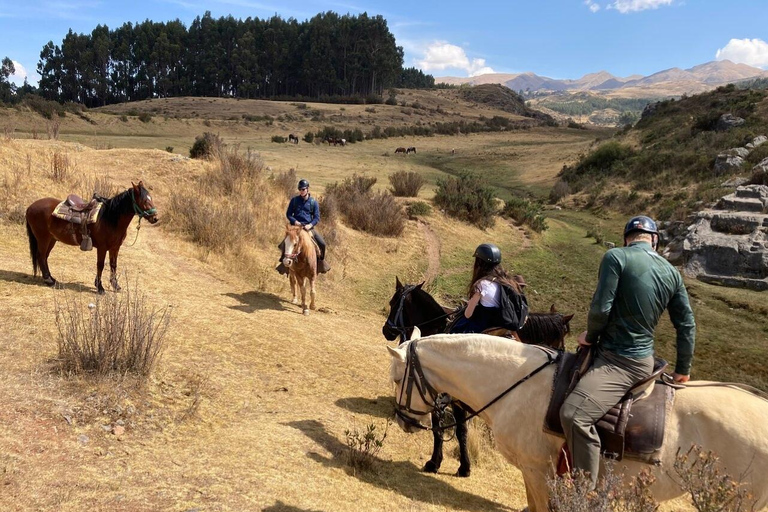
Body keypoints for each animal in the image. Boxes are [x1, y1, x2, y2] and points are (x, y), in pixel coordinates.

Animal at [25, 181, 158, 294]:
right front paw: (100, 287)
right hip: (43, 238)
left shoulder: (115, 248)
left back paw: (51, 278)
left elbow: (113, 265)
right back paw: (48, 280)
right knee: (41, 256)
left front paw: (115, 286)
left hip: (52, 239)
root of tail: (30, 207)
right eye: (144, 200)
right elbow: (100, 265)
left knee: (45, 257)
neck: (109, 218)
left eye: (151, 198)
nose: (155, 218)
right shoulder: (102, 248)